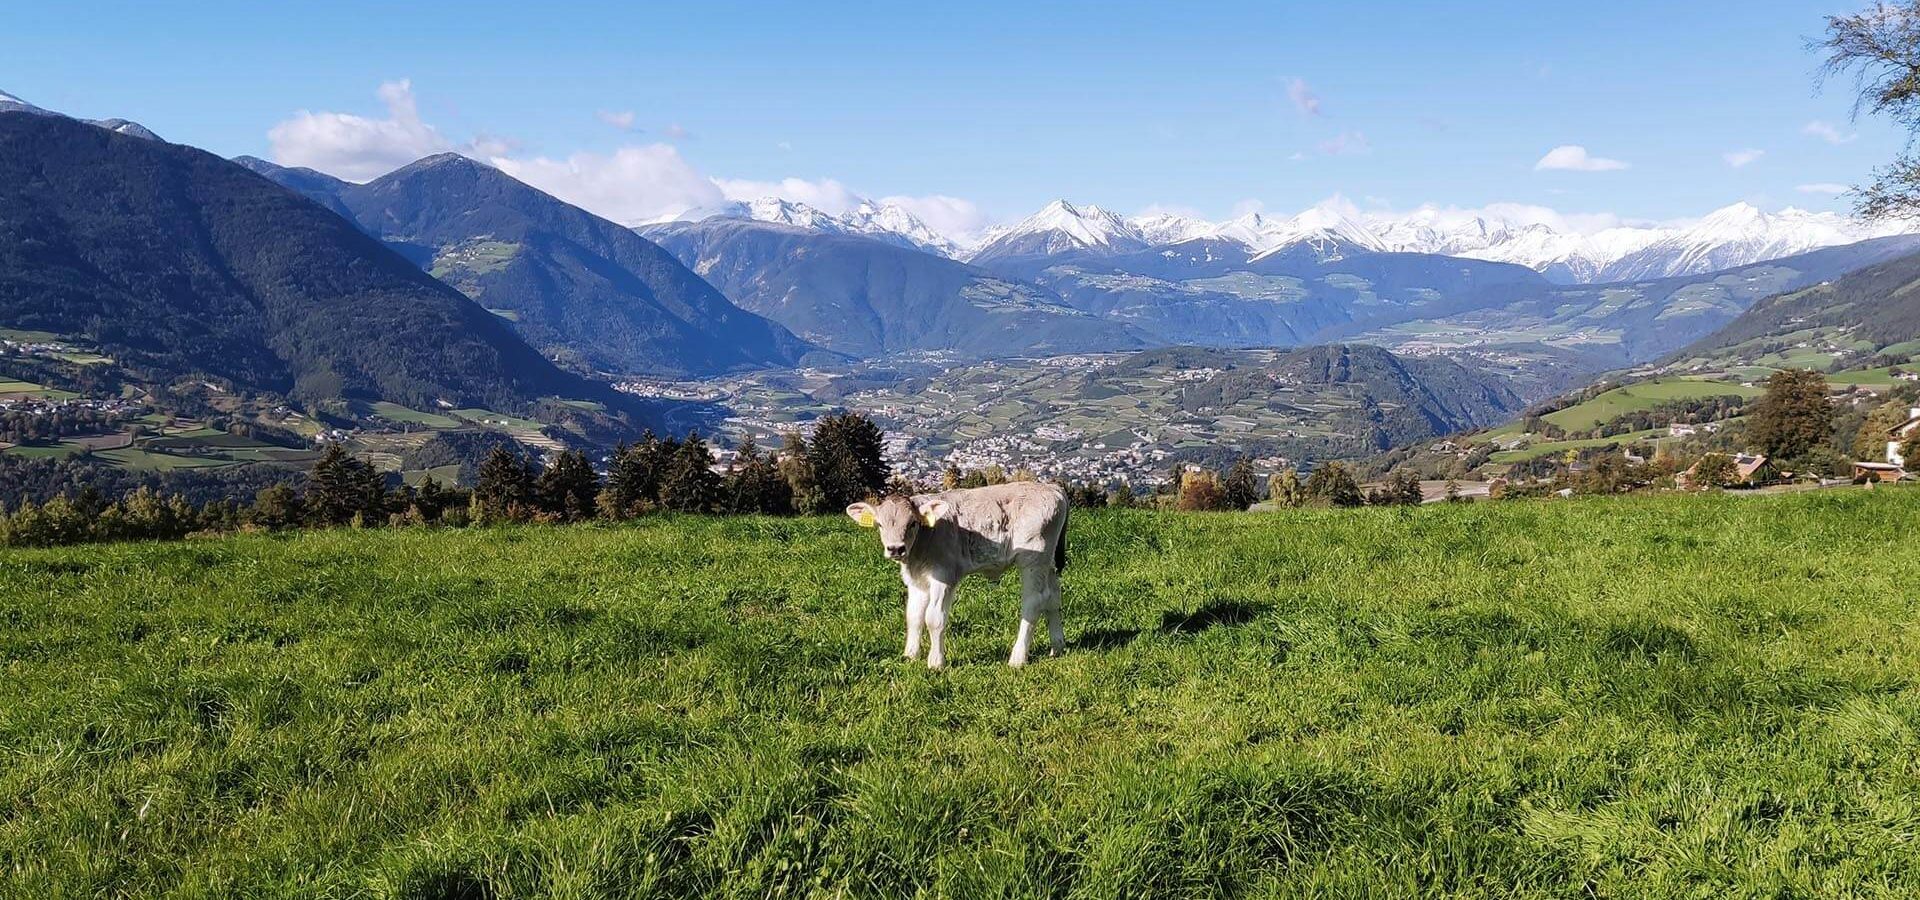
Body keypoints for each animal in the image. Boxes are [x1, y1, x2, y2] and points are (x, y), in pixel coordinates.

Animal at [852, 483, 1075, 667]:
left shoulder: (944, 576)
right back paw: (1057, 646)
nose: (896, 549)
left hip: (1033, 560)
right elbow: (913, 616)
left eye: (912, 523)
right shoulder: (916, 581)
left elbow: (934, 618)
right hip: (1048, 563)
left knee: (1033, 603)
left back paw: (1018, 658)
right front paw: (910, 656)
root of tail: (1052, 487)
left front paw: (936, 662)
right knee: (1053, 597)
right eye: (880, 524)